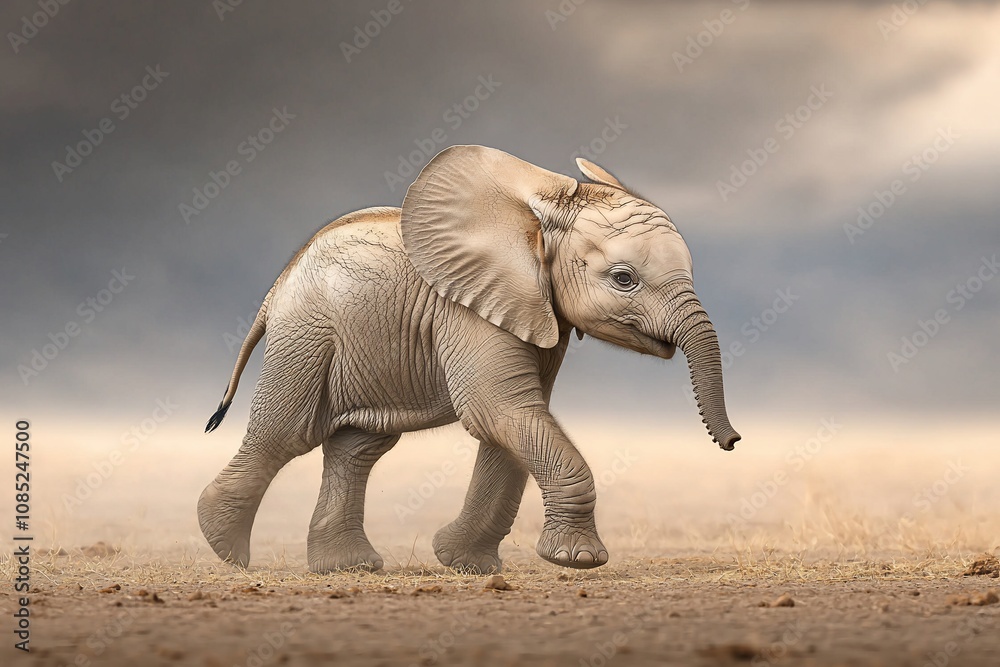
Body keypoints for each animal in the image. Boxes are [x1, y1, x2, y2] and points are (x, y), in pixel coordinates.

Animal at [198, 145, 740, 574]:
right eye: (624, 278)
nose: (733, 442)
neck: (536, 217)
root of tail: (277, 286)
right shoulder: (468, 308)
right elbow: (499, 412)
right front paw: (579, 561)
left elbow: (519, 419)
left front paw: (464, 564)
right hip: (306, 337)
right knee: (285, 434)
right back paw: (226, 550)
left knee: (358, 448)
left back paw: (348, 567)